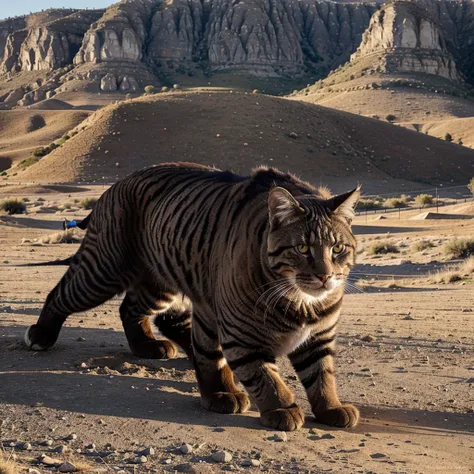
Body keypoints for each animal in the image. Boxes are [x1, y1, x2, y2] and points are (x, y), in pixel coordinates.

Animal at [25, 162, 360, 430]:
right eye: (302, 248)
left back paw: (148, 345)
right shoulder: (241, 336)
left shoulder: (318, 337)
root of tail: (117, 183)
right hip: (101, 272)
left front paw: (331, 408)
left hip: (159, 286)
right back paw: (41, 334)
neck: (301, 300)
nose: (325, 275)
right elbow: (263, 377)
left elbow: (322, 376)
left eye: (337, 248)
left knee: (134, 310)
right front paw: (273, 406)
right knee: (60, 294)